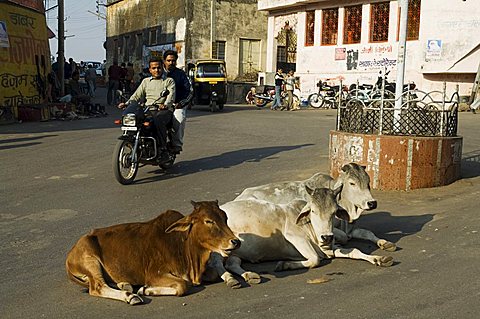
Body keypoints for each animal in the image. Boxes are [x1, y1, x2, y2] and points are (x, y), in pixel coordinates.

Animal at [64, 201, 240, 306]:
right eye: (208, 221)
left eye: (225, 217)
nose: (235, 241)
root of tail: (70, 254)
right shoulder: (155, 274)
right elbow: (183, 285)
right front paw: (144, 290)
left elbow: (212, 274)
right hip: (90, 259)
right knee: (97, 287)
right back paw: (131, 296)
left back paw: (125, 285)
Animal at [210, 188, 394, 290]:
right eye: (313, 211)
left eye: (334, 212)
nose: (327, 236)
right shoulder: (294, 237)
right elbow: (314, 259)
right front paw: (284, 264)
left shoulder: (329, 247)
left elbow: (354, 250)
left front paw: (379, 259)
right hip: (222, 247)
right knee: (218, 262)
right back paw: (231, 280)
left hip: (236, 252)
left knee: (232, 263)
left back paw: (250, 275)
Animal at [234, 164, 396, 254]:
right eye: (352, 183)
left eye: (368, 182)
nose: (372, 203)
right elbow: (344, 236)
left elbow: (366, 232)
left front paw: (385, 243)